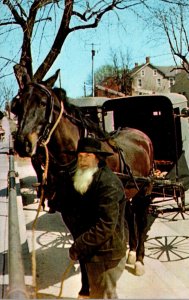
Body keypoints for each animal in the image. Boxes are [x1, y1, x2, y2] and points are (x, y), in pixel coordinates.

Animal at [11, 72, 154, 296]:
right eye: (18, 105)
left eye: (43, 102)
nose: (22, 143)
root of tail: (141, 135)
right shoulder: (71, 214)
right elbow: (81, 247)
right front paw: (85, 288)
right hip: (130, 192)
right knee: (131, 217)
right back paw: (131, 253)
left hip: (145, 192)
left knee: (140, 220)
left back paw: (139, 260)